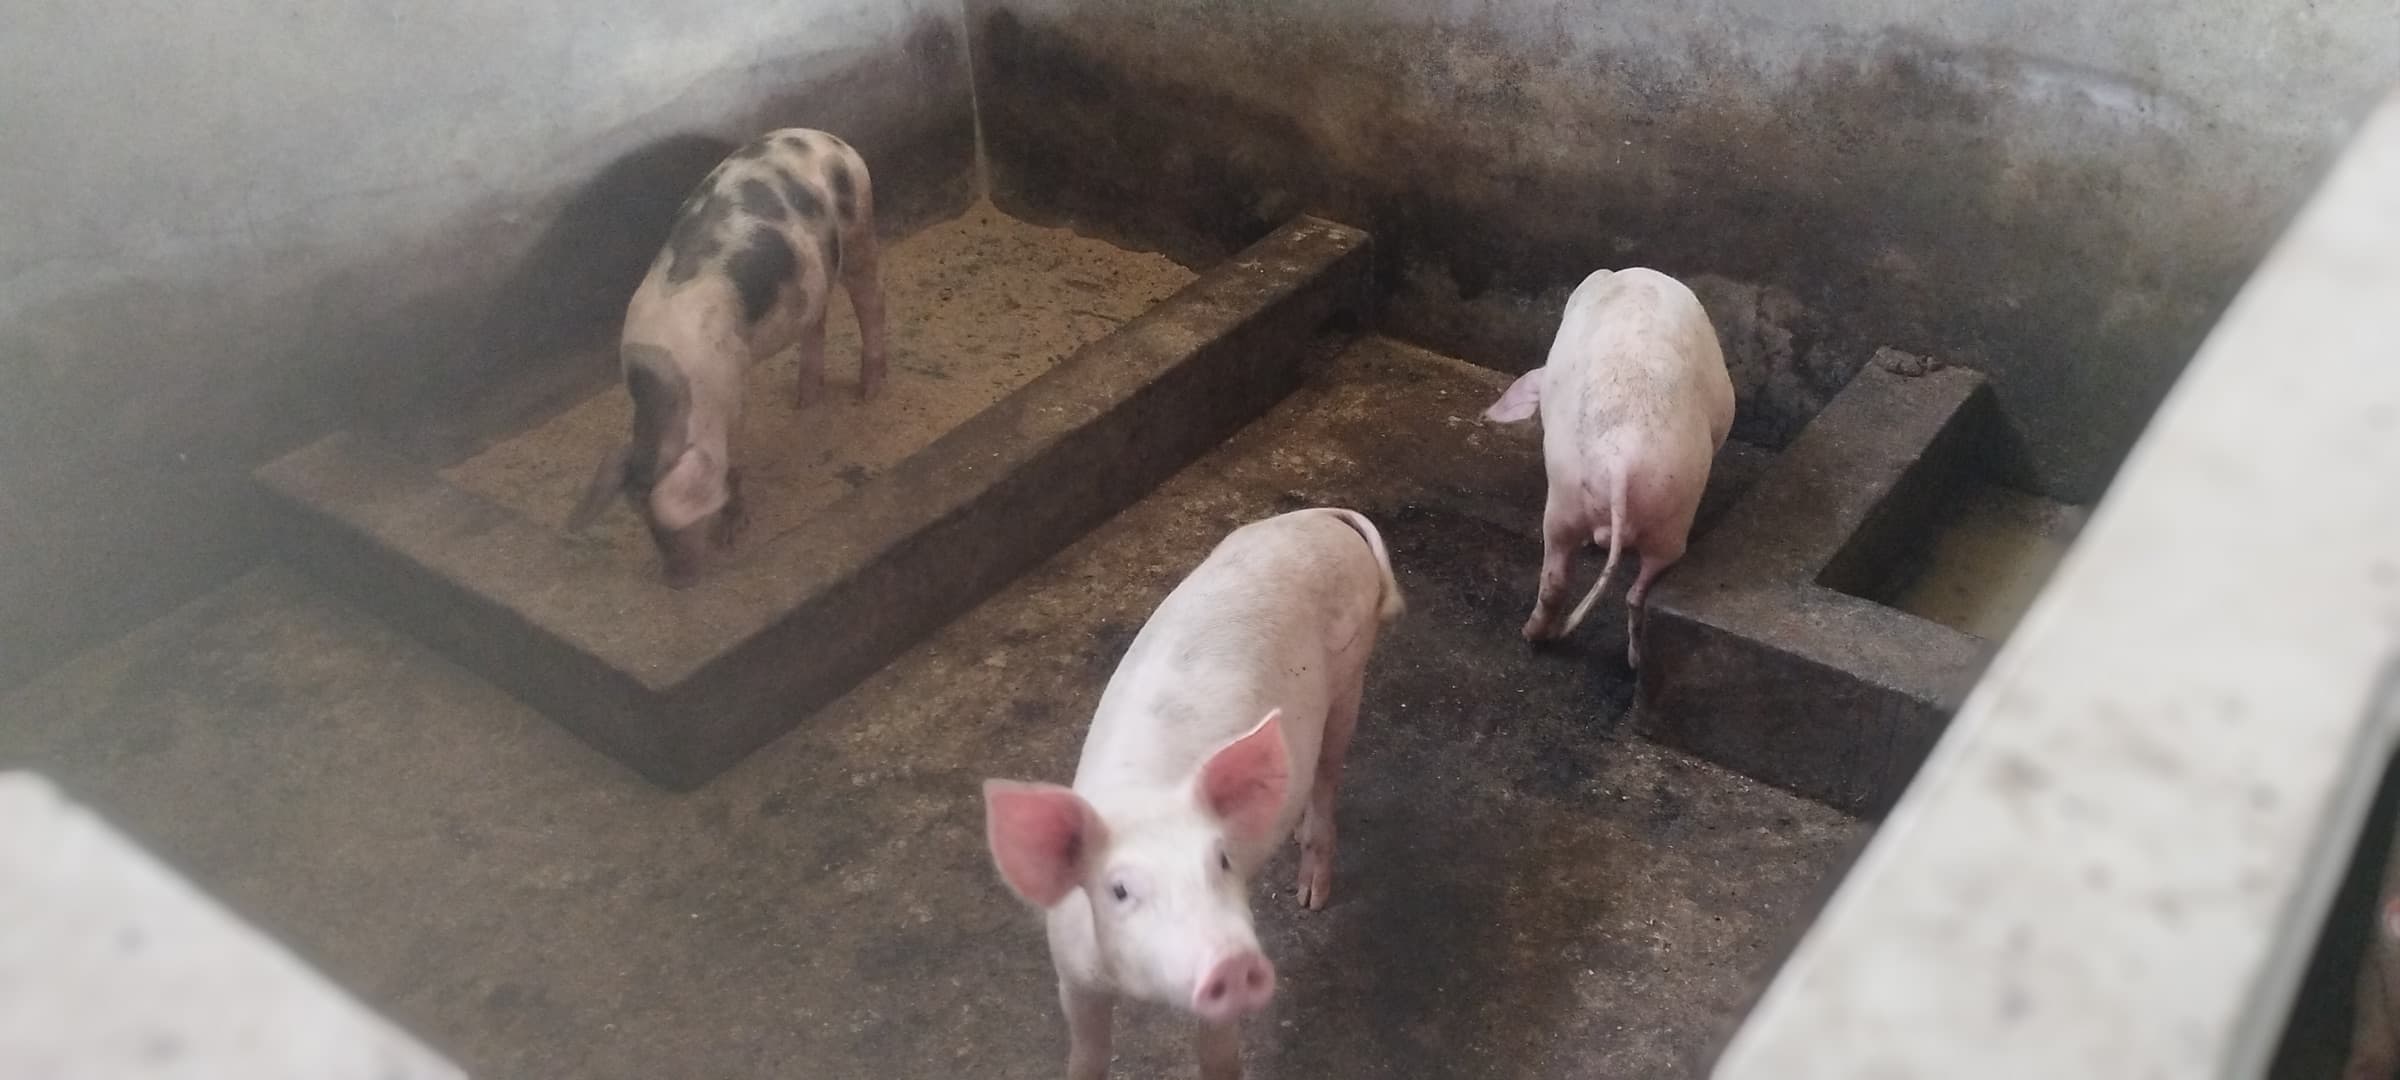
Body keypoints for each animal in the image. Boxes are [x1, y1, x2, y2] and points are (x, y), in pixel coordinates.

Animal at [567, 127, 888, 587]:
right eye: (644, 521)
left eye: (677, 521)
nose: (676, 582)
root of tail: (830, 140)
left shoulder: (733, 392)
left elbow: (733, 460)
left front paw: (732, 535)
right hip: (812, 277)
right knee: (817, 318)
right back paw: (804, 400)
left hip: (860, 226)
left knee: (872, 300)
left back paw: (868, 392)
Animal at [982, 507, 1406, 1080]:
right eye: (1119, 890)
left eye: (1223, 861)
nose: (1232, 963)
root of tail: (1322, 516)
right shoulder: (1072, 975)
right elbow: (1087, 1056)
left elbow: (1218, 1055)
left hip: (1350, 672)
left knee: (1327, 774)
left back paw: (1311, 898)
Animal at [1482, 267, 1733, 668]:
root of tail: (1621, 461)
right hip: (1663, 509)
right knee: (1629, 588)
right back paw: (1626, 658)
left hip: (1571, 500)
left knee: (1560, 580)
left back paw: (1537, 636)